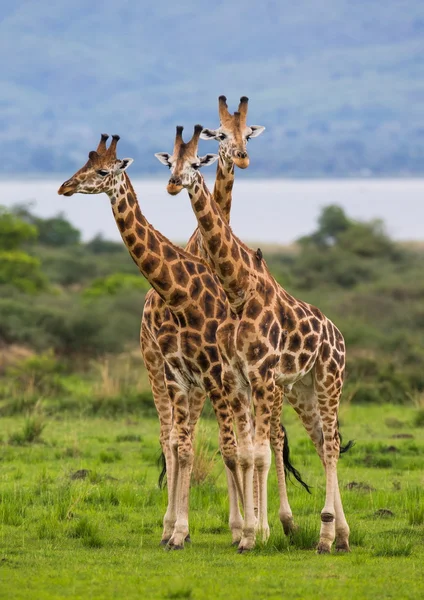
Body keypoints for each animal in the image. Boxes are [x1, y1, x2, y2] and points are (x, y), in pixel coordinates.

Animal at [58, 132, 256, 552]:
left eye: (102, 171)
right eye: (84, 164)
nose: (64, 186)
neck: (179, 294)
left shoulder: (212, 376)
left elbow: (224, 448)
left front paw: (236, 530)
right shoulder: (179, 375)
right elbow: (182, 446)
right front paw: (177, 531)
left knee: (248, 441)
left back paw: (252, 526)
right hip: (170, 375)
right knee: (183, 440)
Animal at [155, 126, 352, 552]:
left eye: (196, 163)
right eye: (170, 162)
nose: (174, 183)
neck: (239, 292)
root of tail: (338, 334)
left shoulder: (260, 377)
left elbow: (258, 452)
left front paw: (255, 533)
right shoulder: (241, 379)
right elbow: (246, 451)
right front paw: (251, 531)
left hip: (330, 380)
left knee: (329, 444)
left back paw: (325, 535)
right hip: (304, 388)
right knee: (322, 441)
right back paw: (340, 536)